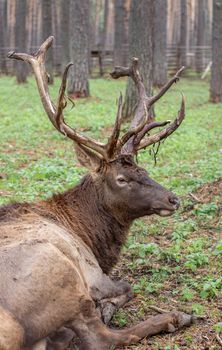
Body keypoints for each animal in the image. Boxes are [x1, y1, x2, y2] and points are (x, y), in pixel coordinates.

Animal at [0, 37, 194, 348]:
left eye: (144, 169)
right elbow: (127, 286)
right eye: (122, 179)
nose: (173, 199)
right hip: (62, 274)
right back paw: (173, 317)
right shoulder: (93, 273)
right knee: (100, 337)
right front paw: (108, 305)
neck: (88, 233)